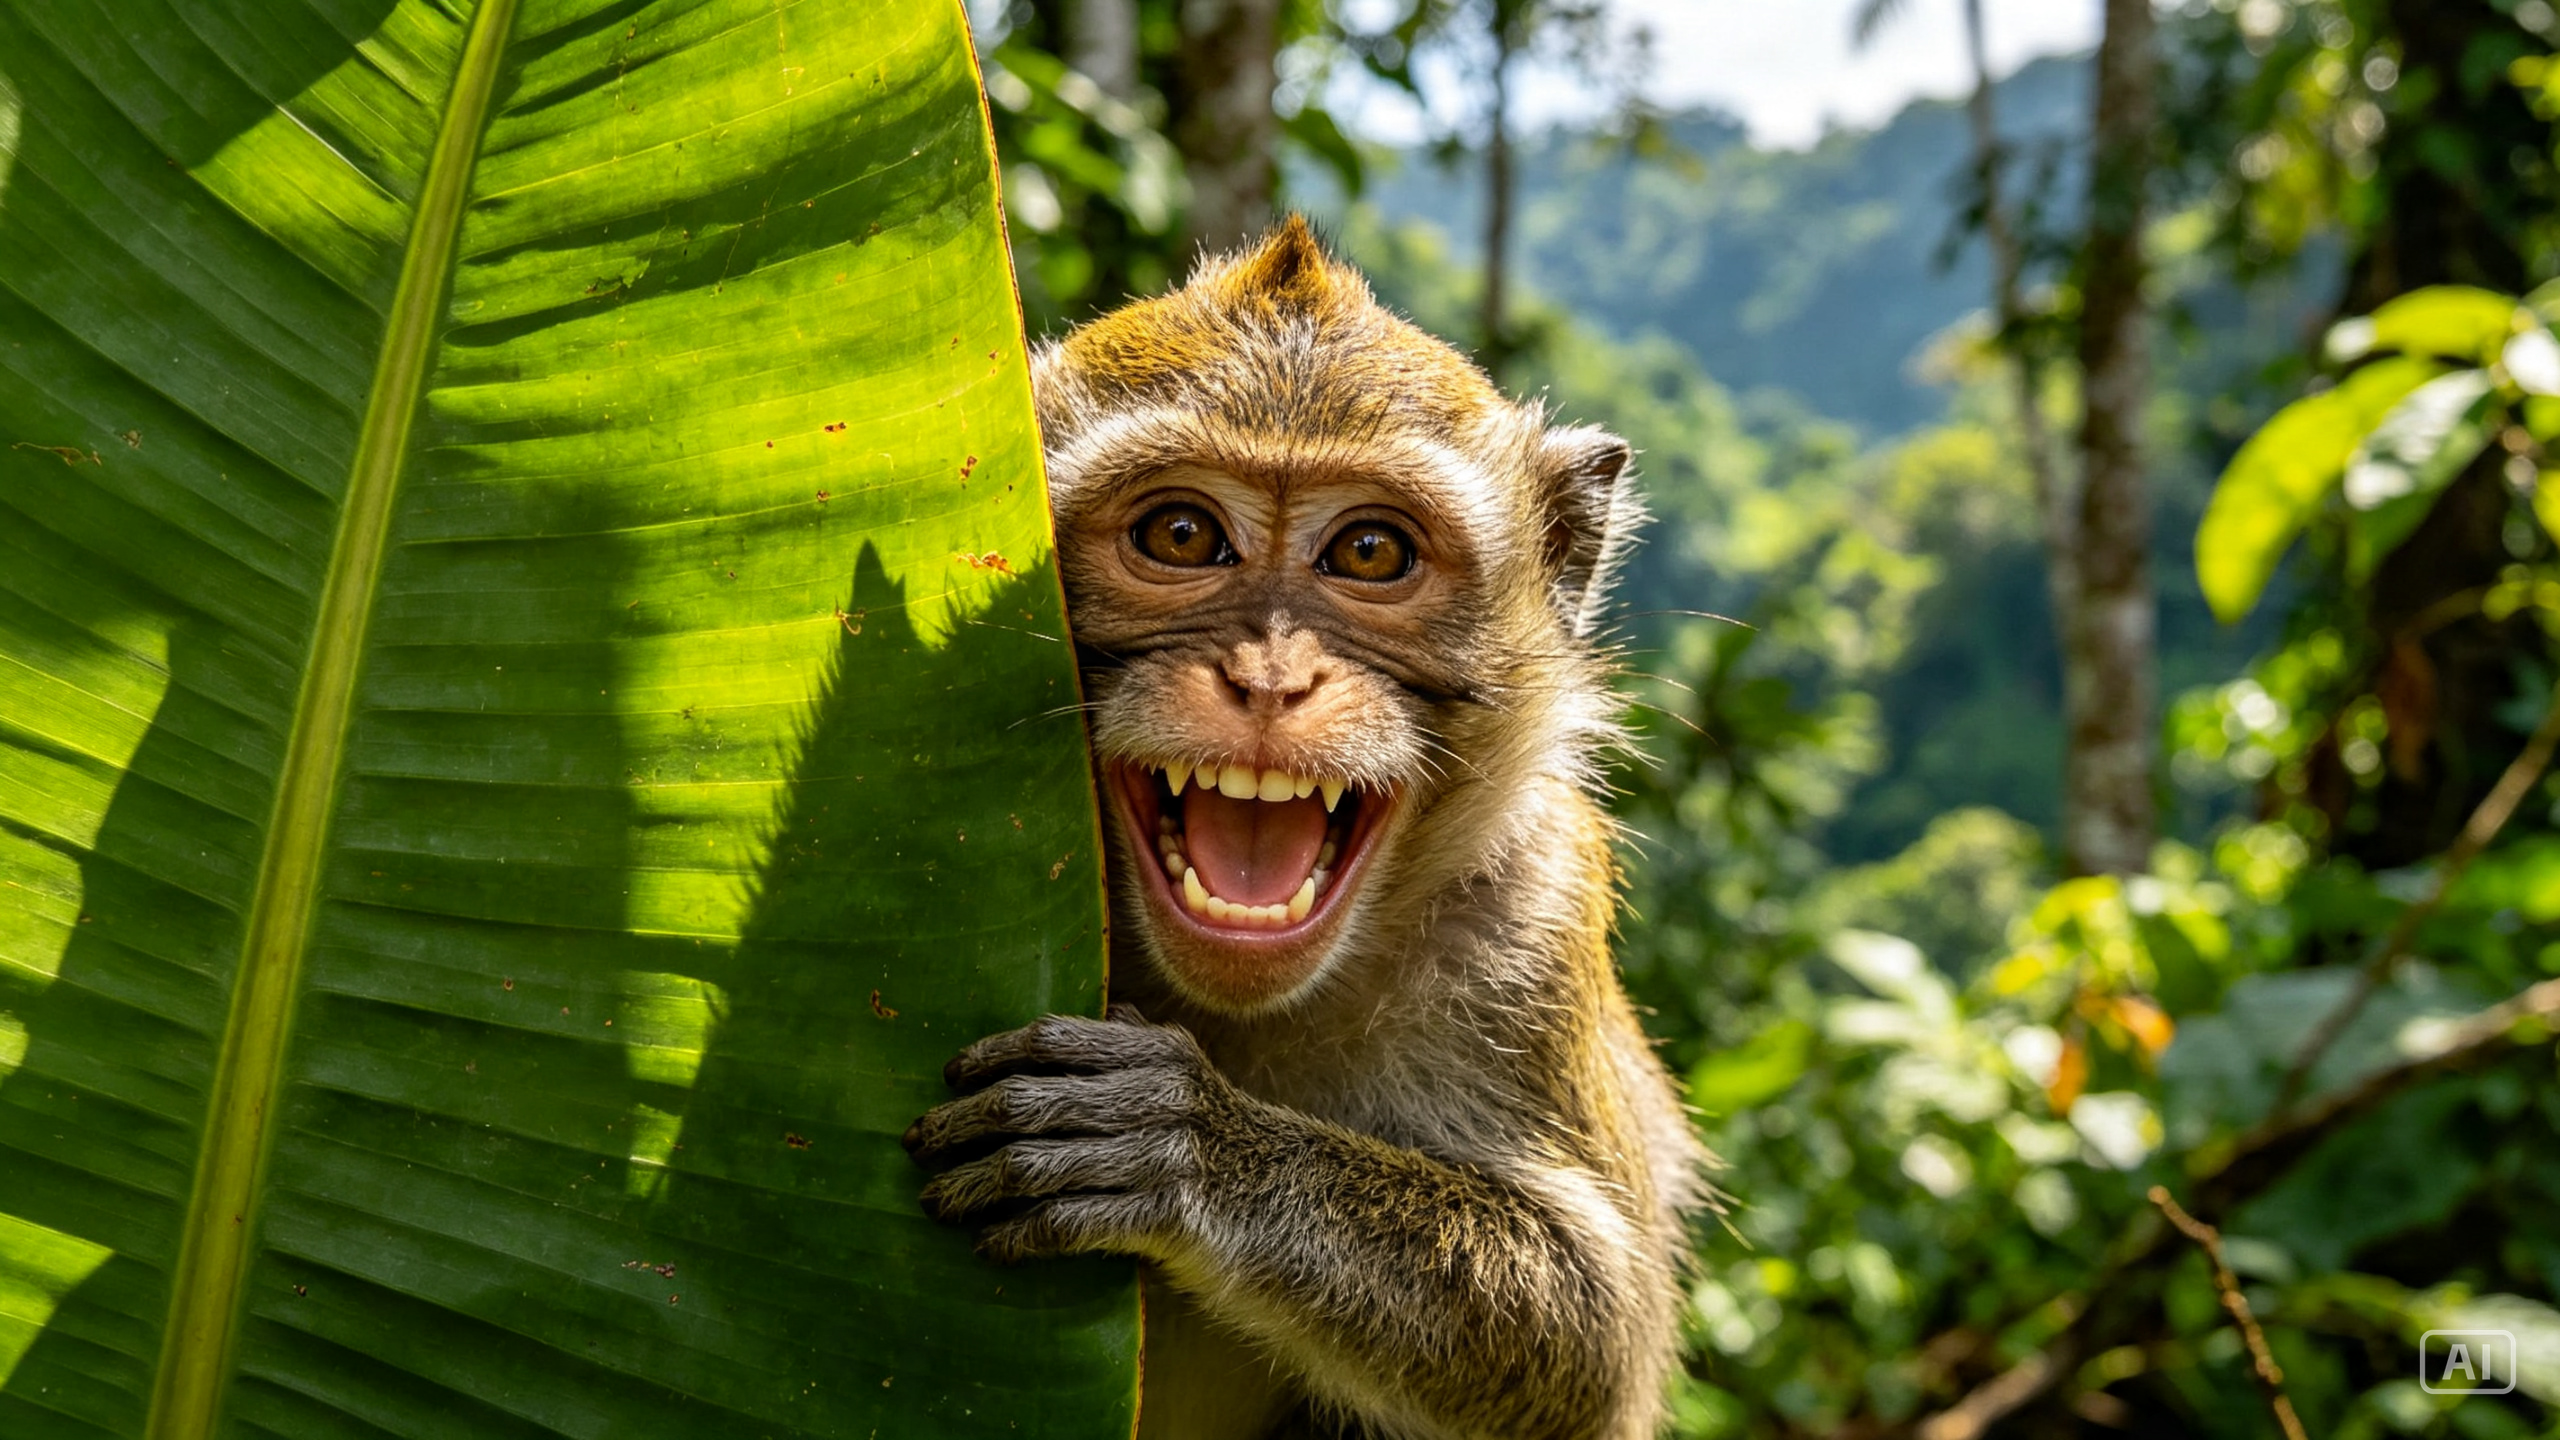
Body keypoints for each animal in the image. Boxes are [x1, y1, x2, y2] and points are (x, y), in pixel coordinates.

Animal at [903, 216, 1709, 1440]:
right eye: (1182, 533)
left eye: (1369, 553)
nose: (1272, 680)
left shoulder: (1526, 920)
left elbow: (1593, 1334)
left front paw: (1198, 1151)